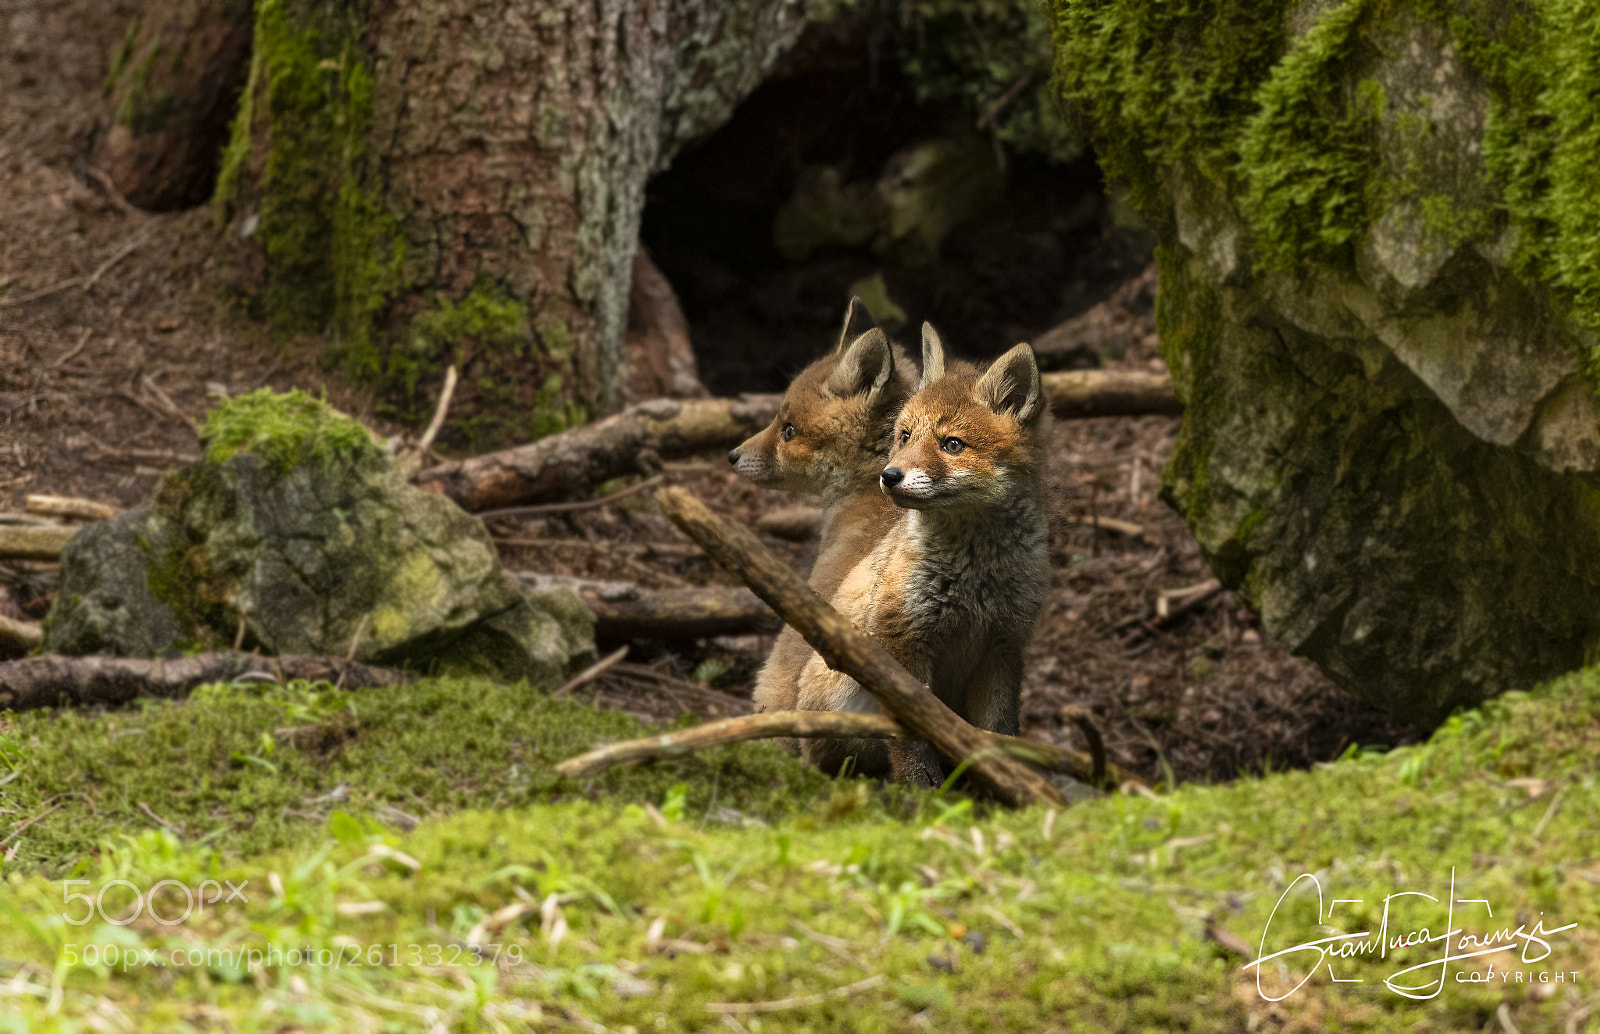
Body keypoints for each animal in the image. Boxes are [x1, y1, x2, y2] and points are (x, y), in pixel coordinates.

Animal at [794, 324, 1052, 786]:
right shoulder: (900, 638)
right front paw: (920, 785)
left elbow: (998, 731)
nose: (889, 476)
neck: (976, 574)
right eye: (905, 436)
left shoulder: (1004, 646)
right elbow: (913, 732)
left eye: (952, 444)